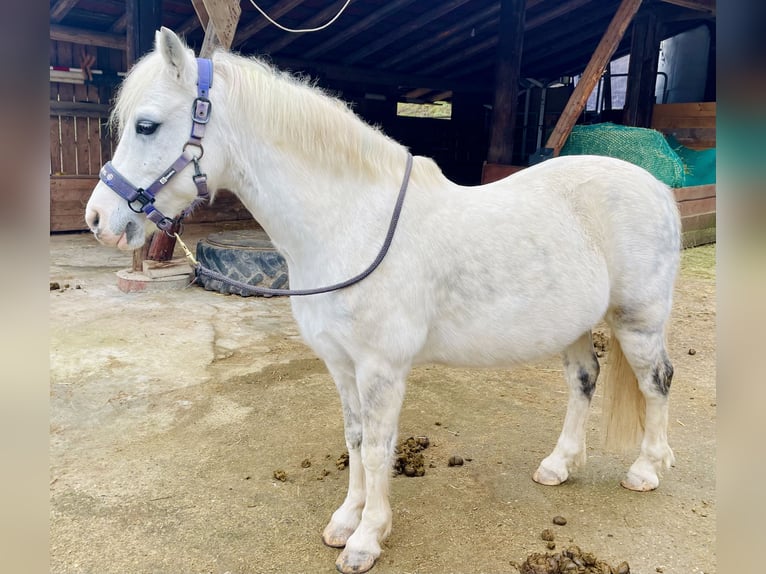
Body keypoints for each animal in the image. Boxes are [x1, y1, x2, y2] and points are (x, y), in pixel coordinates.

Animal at [85, 28, 681, 574]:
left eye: (146, 125)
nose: (98, 220)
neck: (351, 222)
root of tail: (658, 187)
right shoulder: (342, 364)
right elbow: (353, 440)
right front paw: (345, 521)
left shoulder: (381, 369)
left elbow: (376, 447)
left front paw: (367, 539)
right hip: (574, 325)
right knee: (585, 379)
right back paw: (559, 465)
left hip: (638, 322)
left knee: (656, 382)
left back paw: (646, 470)